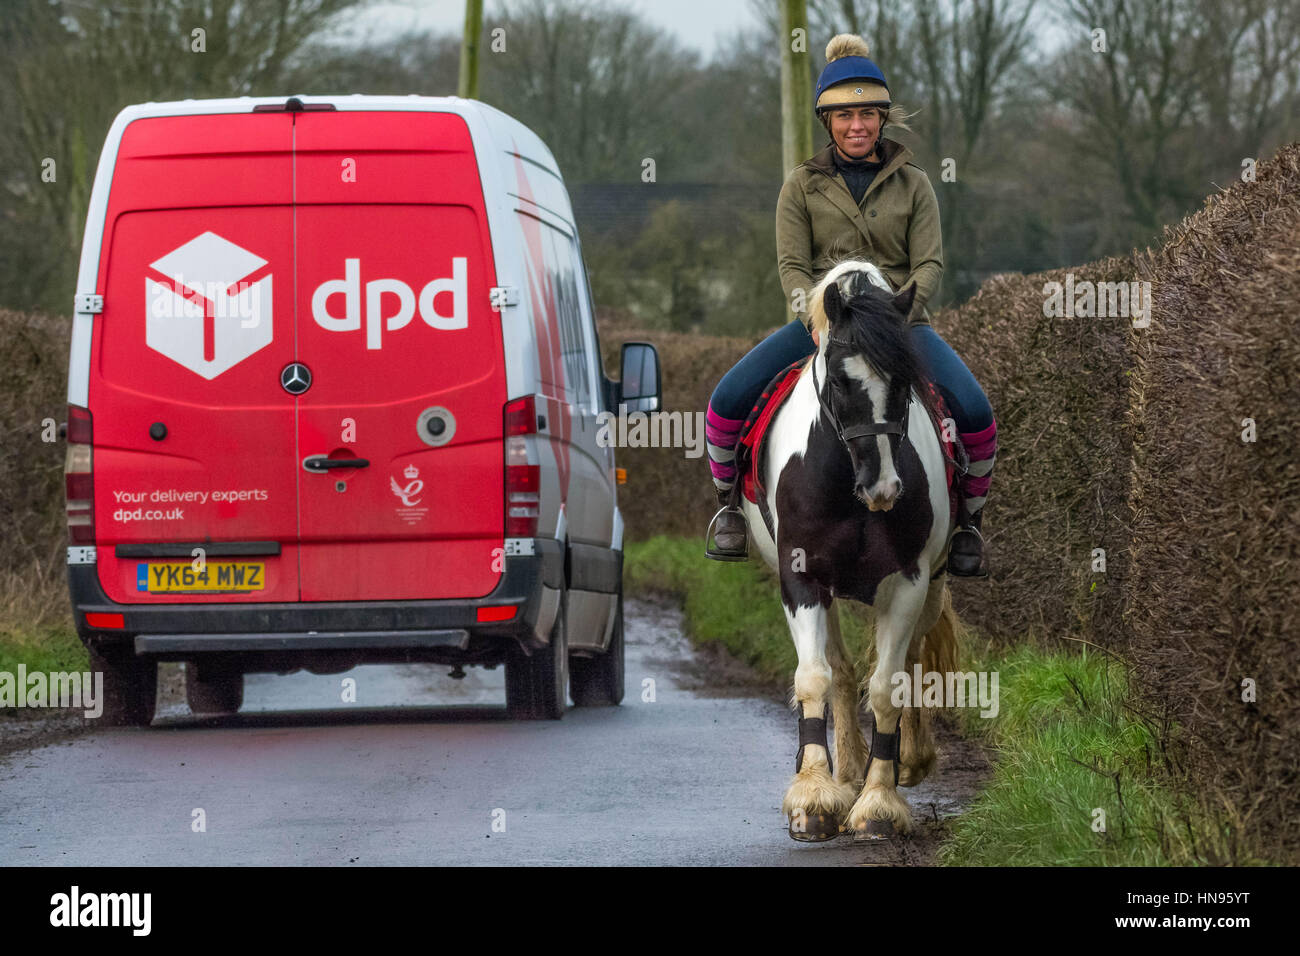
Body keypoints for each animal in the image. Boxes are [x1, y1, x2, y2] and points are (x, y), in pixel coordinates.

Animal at [742, 260, 960, 840]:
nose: (883, 488)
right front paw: (815, 796)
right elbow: (816, 677)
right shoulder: (801, 578)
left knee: (911, 659)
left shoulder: (909, 580)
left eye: (905, 381)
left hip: (933, 582)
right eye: (840, 380)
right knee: (837, 669)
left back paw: (908, 759)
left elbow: (888, 687)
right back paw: (845, 770)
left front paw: (879, 802)